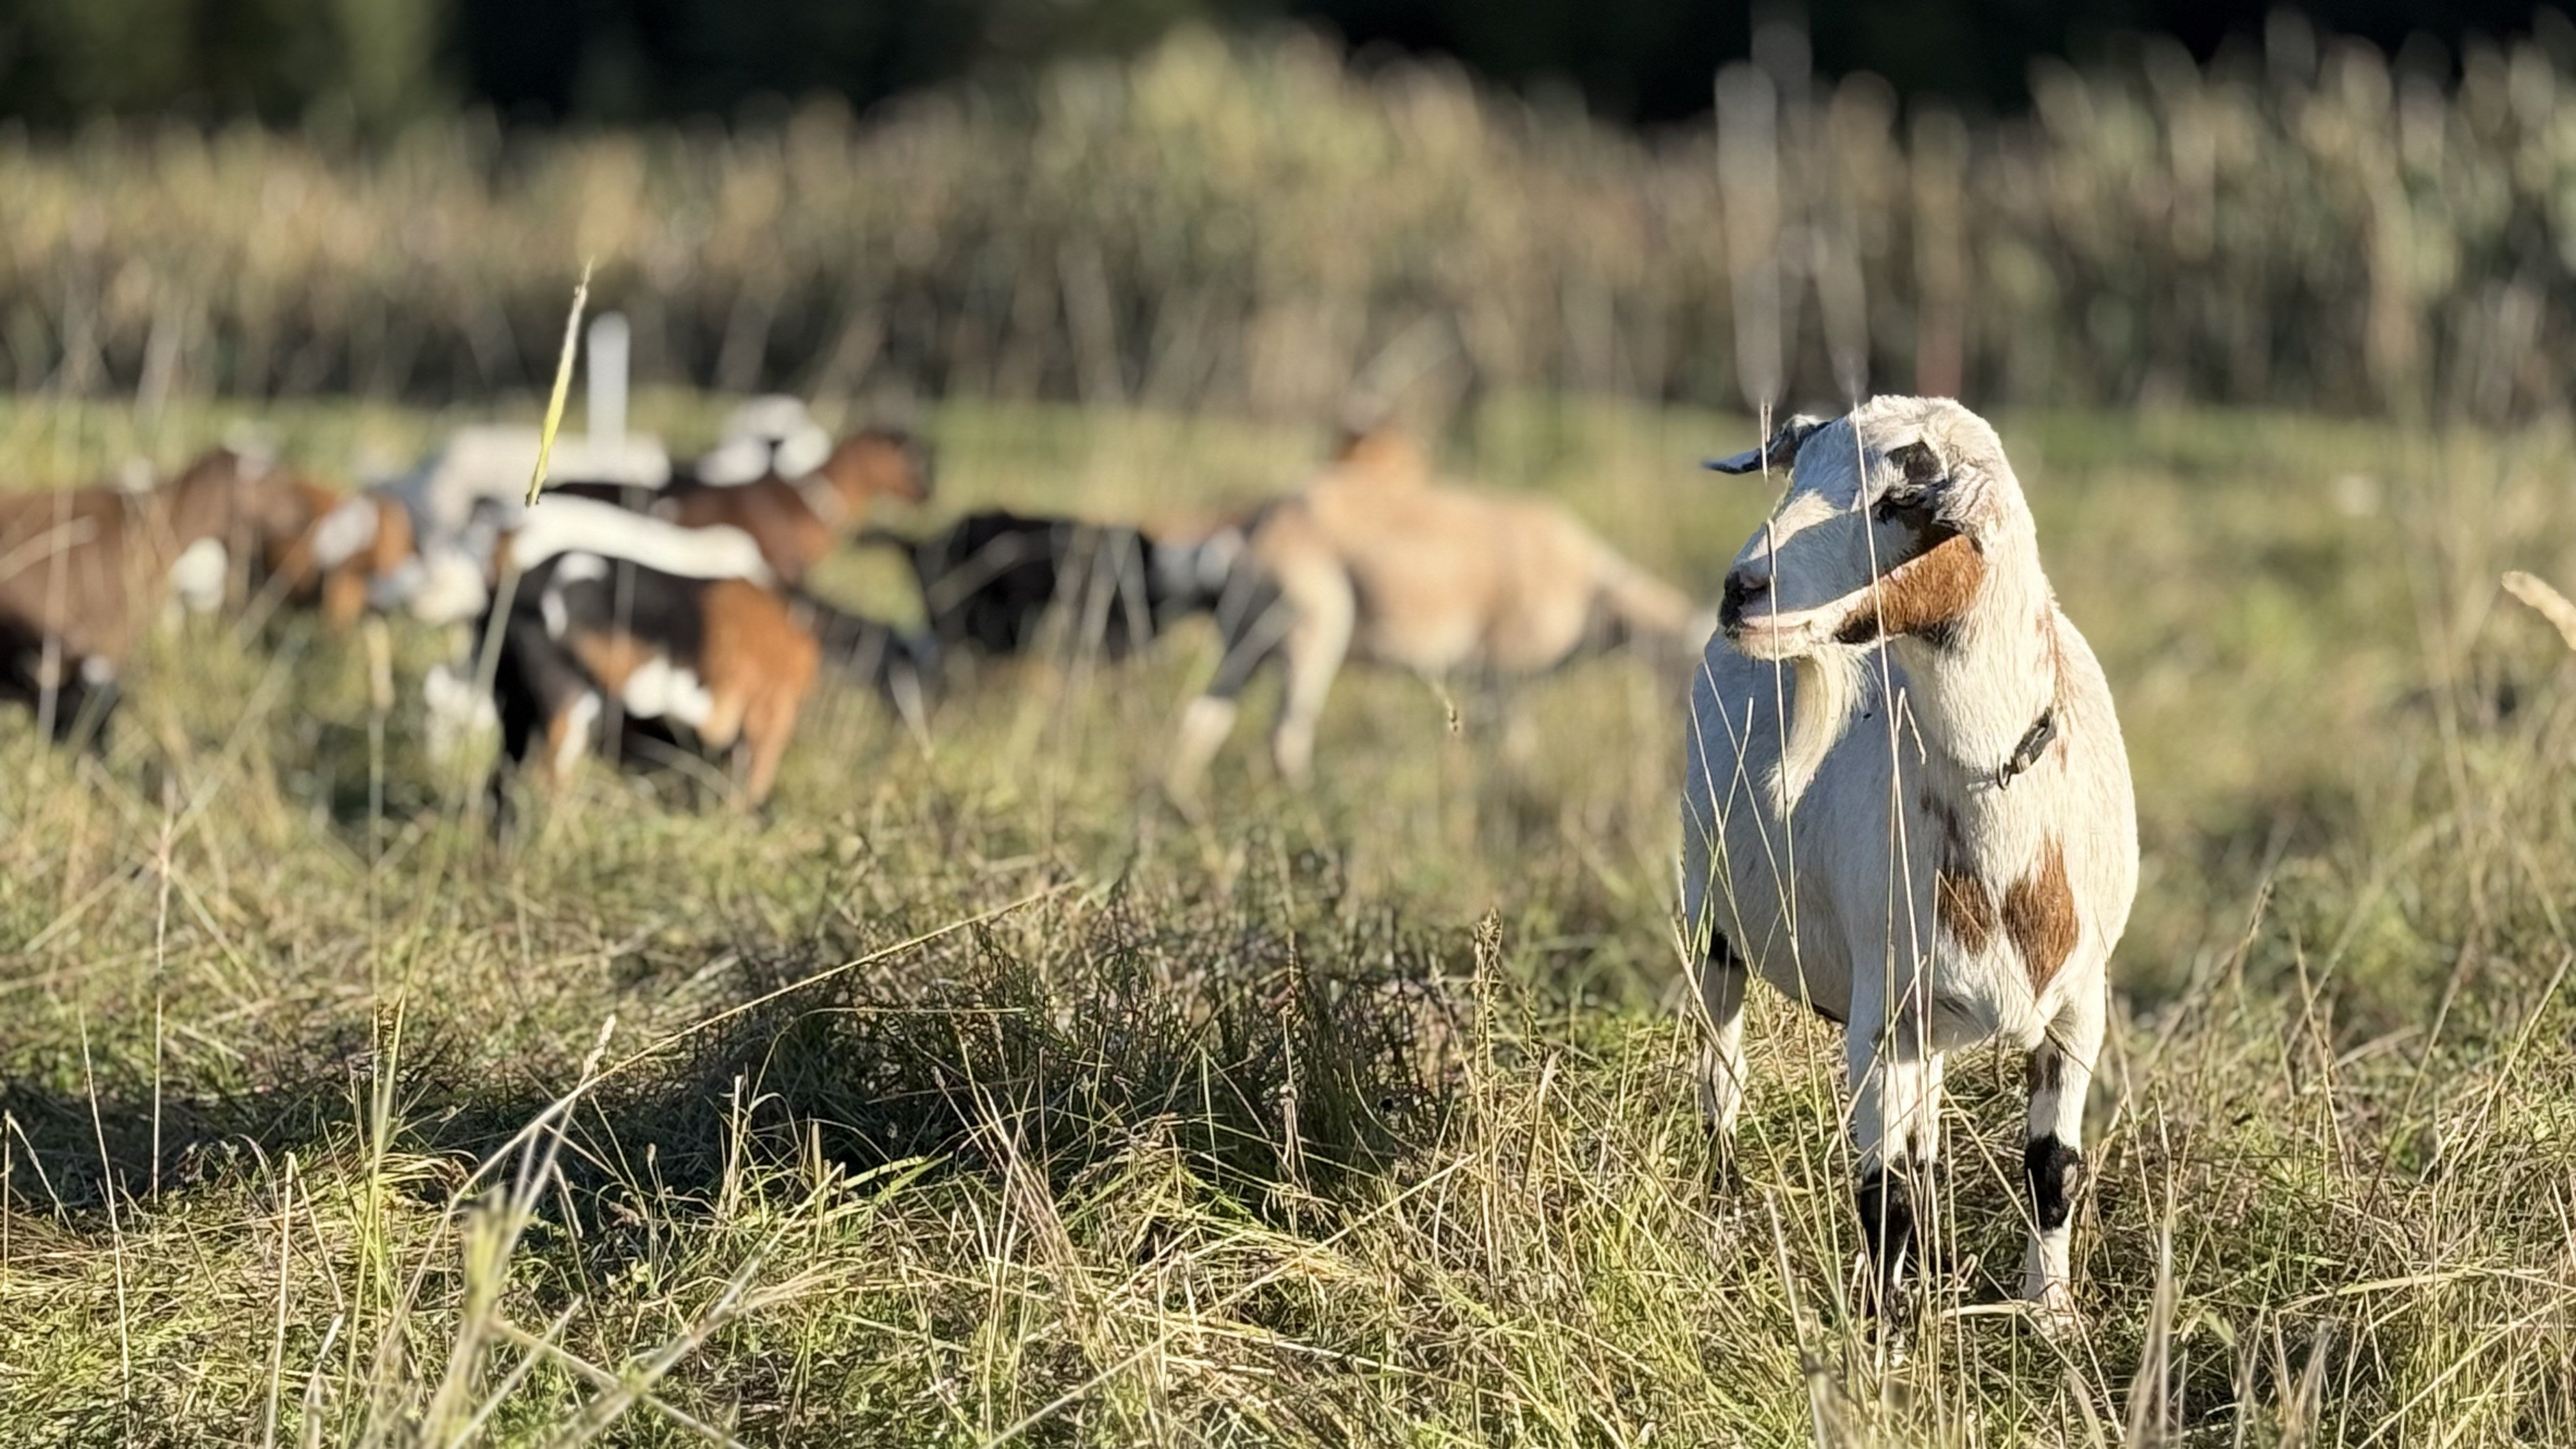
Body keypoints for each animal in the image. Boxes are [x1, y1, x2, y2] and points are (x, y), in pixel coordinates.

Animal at [1168, 428, 1707, 791]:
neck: (1593, 589)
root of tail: (1255, 524)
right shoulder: (1501, 679)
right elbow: (1513, 752)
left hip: (1243, 642)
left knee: (1203, 721)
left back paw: (1182, 799)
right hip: (1312, 634)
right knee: (1285, 738)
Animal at [1680, 396, 2137, 1329]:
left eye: (1900, 502)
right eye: (1800, 472)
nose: (1743, 591)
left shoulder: (2080, 1009)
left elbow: (2054, 1168)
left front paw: (2051, 1318)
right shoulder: (1876, 1021)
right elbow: (1880, 1193)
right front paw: (1883, 1337)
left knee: (1925, 1139)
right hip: (1714, 924)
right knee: (1722, 1078)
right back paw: (1722, 1218)